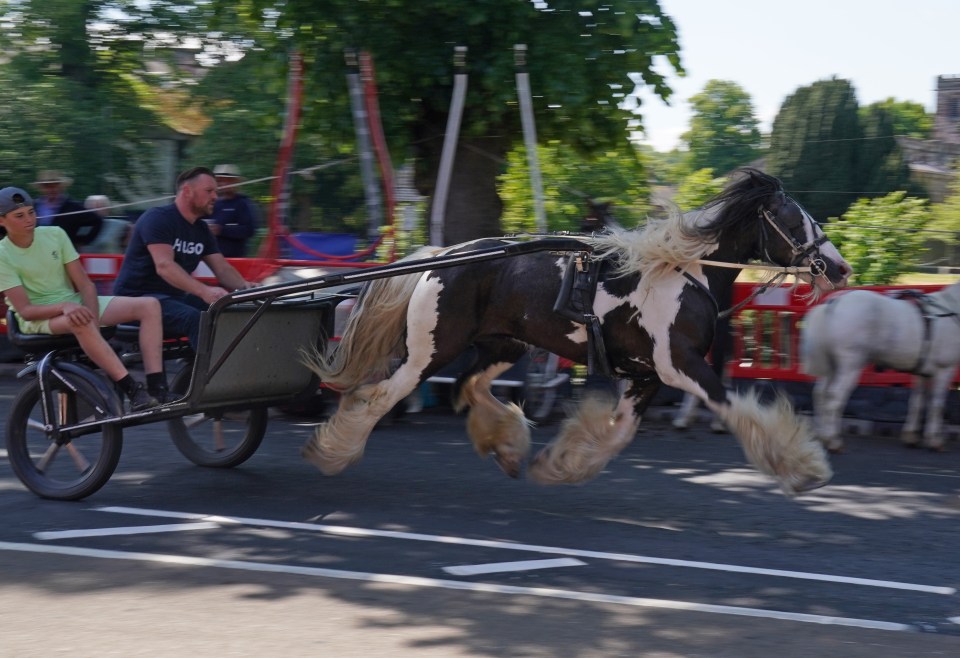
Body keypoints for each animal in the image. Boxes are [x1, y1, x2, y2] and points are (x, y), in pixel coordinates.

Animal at [800, 280, 960, 454]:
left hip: (833, 367)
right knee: (835, 396)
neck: (949, 311)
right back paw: (833, 441)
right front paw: (935, 441)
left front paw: (911, 437)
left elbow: (917, 402)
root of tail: (834, 302)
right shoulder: (944, 370)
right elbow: (937, 405)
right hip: (850, 365)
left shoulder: (922, 373)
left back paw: (822, 435)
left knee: (820, 393)